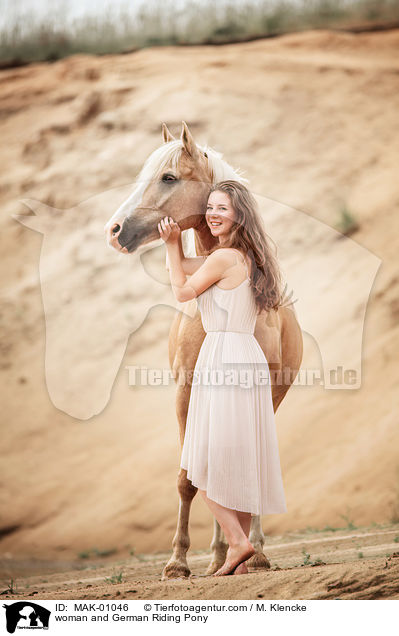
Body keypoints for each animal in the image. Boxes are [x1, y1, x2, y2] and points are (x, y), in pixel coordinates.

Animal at [105, 121, 304, 580]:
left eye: (168, 177)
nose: (116, 230)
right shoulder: (184, 391)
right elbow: (187, 477)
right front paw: (177, 564)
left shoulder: (261, 391)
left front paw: (254, 553)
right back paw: (219, 556)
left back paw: (245, 552)